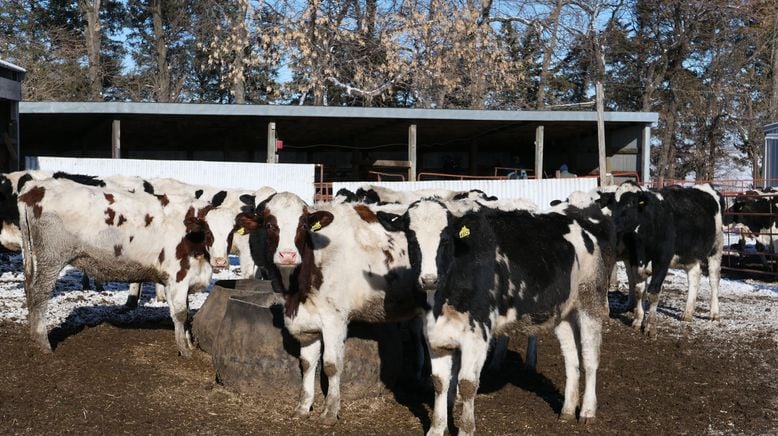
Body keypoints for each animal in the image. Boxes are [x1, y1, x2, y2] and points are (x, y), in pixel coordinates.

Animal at [16, 178, 214, 358]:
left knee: (30, 290)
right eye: (211, 232)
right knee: (40, 293)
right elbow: (180, 313)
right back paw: (43, 342)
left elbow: (186, 311)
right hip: (51, 257)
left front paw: (189, 343)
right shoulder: (179, 275)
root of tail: (34, 187)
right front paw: (185, 350)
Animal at [233, 192, 424, 424]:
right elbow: (307, 364)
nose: (288, 255)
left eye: (303, 226)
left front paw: (330, 412)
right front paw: (303, 407)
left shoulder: (335, 320)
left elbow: (332, 365)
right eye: (269, 224)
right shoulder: (307, 323)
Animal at [378, 196, 620, 434]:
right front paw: (436, 429)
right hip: (562, 313)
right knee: (571, 359)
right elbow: (439, 382)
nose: (429, 279)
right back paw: (568, 410)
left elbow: (467, 385)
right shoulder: (435, 335)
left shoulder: (477, 335)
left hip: (590, 299)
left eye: (445, 239)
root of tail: (580, 224)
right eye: (411, 238)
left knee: (590, 357)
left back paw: (587, 411)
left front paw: (466, 429)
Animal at [608, 182, 724, 336]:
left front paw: (650, 327)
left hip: (716, 247)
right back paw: (687, 313)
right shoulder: (634, 260)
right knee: (694, 276)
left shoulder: (662, 261)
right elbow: (639, 289)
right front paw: (638, 320)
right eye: (613, 204)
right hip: (689, 255)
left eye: (630, 203)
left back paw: (714, 313)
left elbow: (654, 293)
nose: (612, 225)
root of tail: (705, 186)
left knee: (714, 279)